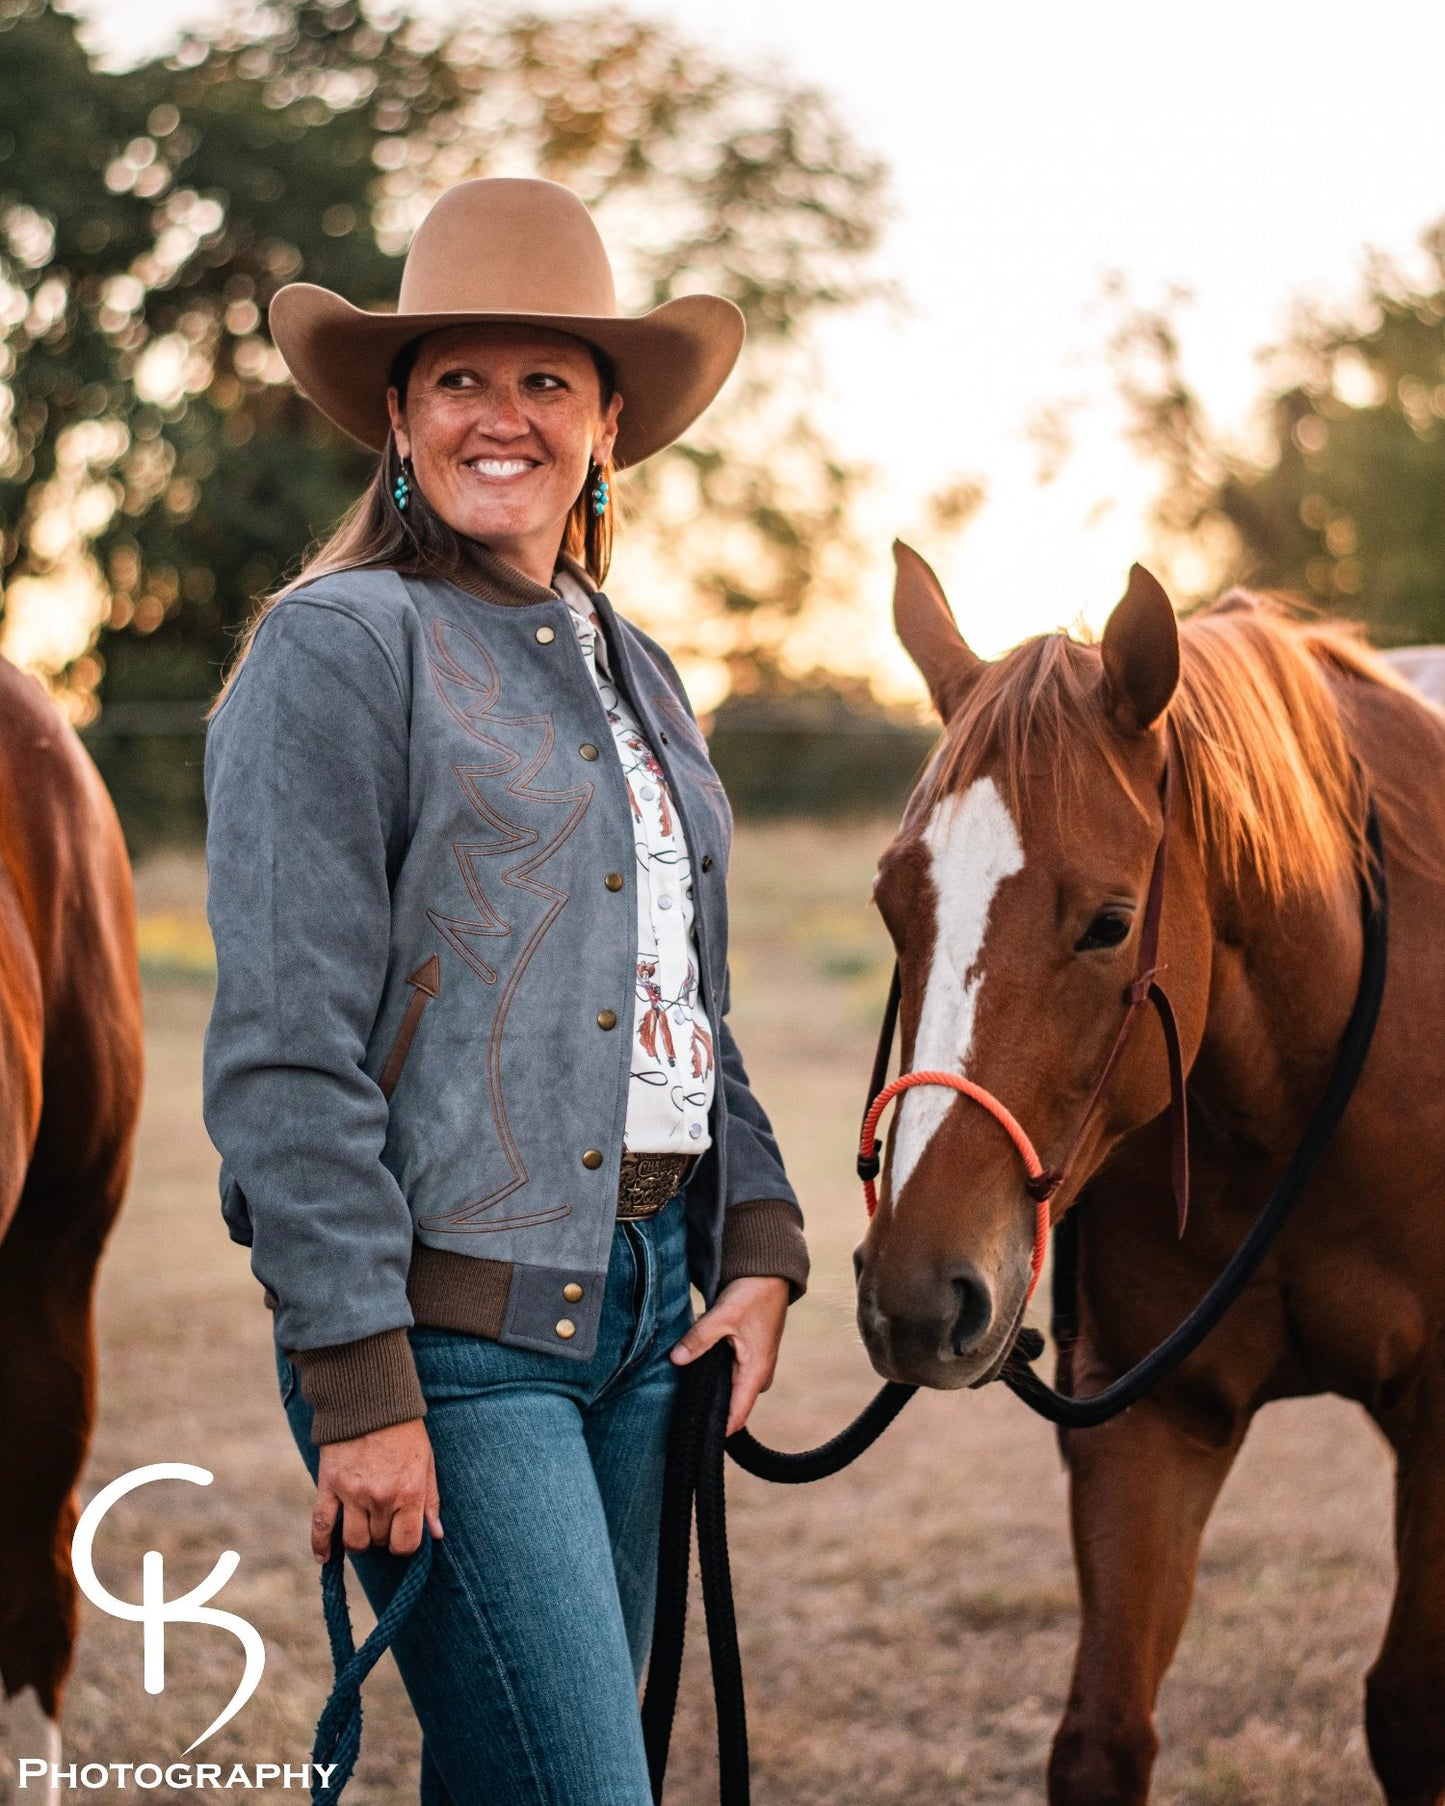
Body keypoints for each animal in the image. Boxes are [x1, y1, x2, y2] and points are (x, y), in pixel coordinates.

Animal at [859, 541, 1445, 1798]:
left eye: (1108, 923)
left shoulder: (1442, 1411)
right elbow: (1101, 1736)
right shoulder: (1148, 1418)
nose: (917, 1295)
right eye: (893, 903)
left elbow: (1412, 1709)